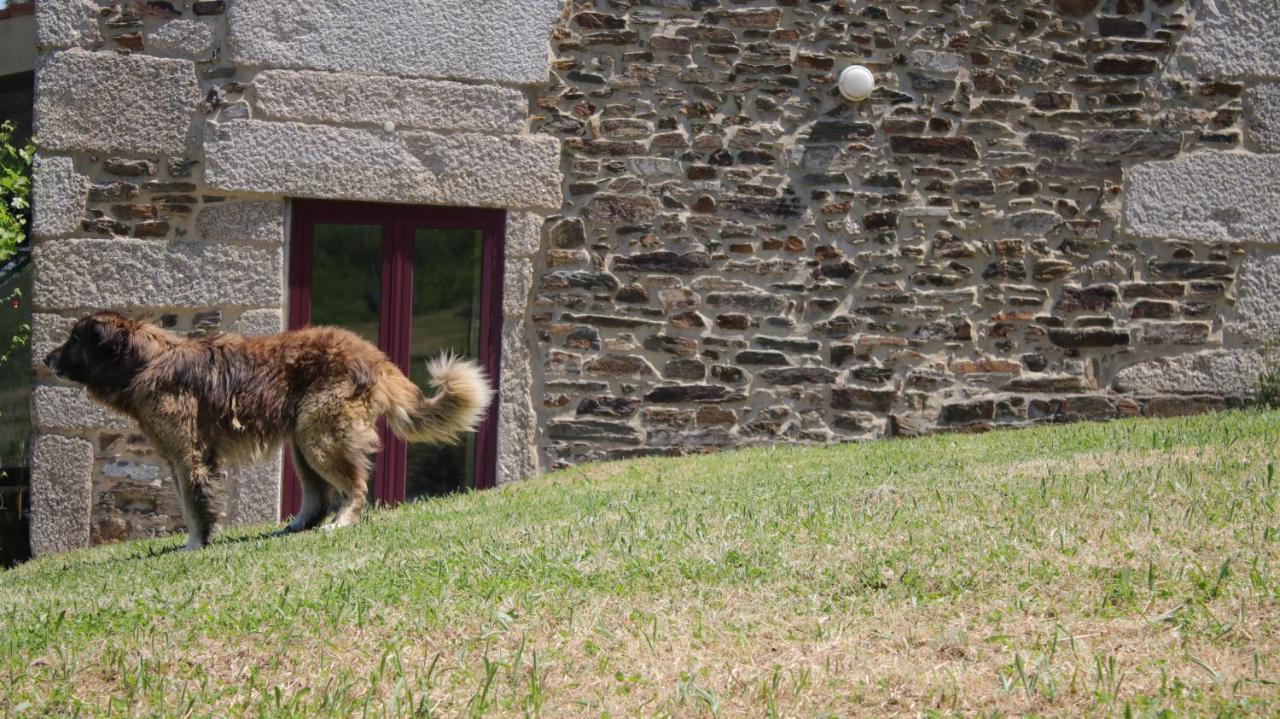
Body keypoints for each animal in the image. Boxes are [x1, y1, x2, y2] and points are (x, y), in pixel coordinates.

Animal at [42, 309, 491, 547]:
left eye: (75, 340)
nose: (46, 359)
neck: (144, 361)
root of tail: (374, 356)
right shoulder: (180, 457)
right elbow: (191, 502)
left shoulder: (188, 455)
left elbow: (193, 505)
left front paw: (194, 545)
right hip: (302, 442)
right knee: (316, 496)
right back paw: (294, 526)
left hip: (319, 435)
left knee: (355, 487)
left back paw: (341, 522)